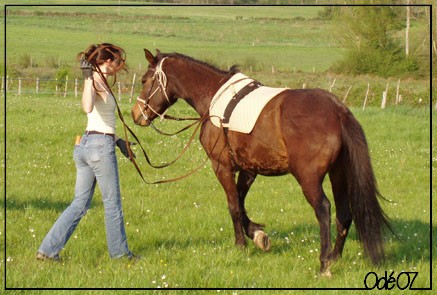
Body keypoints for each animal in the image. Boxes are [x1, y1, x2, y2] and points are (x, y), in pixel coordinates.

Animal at [130, 49, 392, 278]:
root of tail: (338, 110)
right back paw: (335, 258)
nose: (135, 114)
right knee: (344, 214)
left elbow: (234, 206)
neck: (214, 99)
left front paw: (241, 245)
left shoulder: (222, 167)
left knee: (324, 209)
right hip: (338, 174)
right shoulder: (249, 170)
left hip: (309, 178)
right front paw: (257, 235)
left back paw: (324, 264)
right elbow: (241, 203)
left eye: (144, 80)